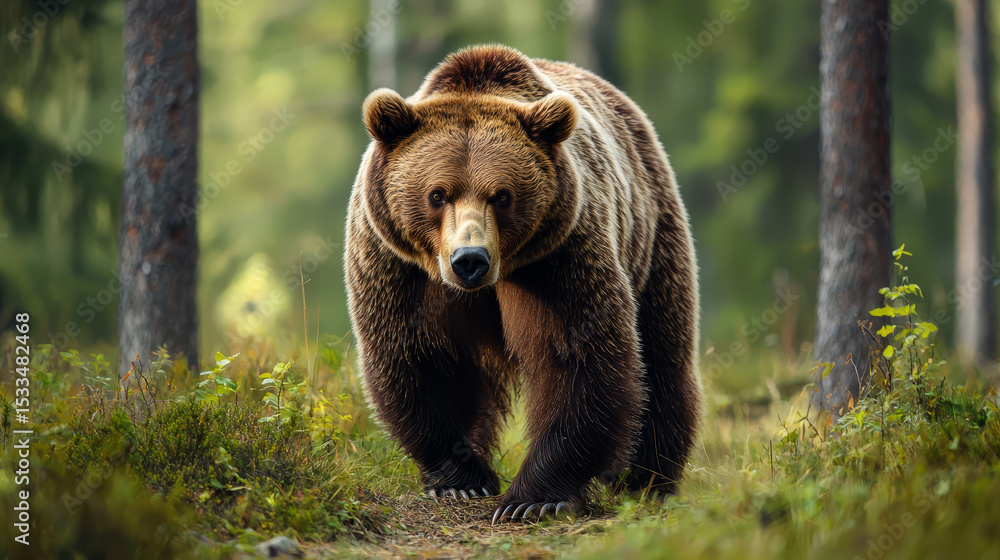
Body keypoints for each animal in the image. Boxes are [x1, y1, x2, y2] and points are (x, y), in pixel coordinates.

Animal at [344, 45, 701, 524]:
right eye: (437, 194)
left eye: (502, 195)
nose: (469, 260)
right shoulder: (399, 267)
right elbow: (418, 355)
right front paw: (463, 480)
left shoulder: (559, 255)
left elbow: (578, 356)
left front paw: (532, 498)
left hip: (653, 231)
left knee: (663, 357)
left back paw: (646, 480)